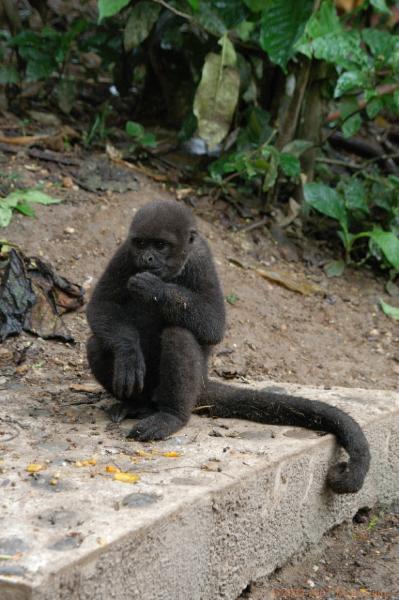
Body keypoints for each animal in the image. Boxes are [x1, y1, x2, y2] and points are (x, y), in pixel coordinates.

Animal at [86, 199, 372, 494]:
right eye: (141, 244)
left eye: (161, 245)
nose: (147, 258)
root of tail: (201, 384)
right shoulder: (124, 253)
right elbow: (102, 305)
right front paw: (129, 355)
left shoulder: (201, 259)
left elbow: (213, 324)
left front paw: (155, 288)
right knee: (98, 343)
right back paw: (136, 403)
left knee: (179, 335)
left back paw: (171, 416)